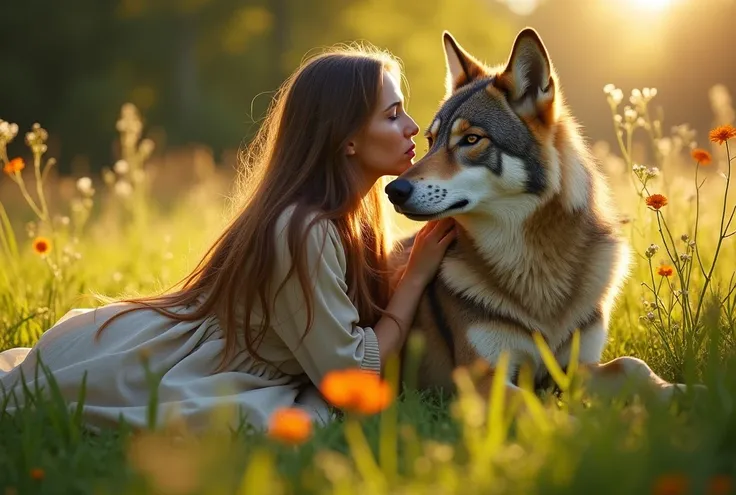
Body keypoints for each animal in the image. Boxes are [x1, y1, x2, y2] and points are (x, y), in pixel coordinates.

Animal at [386, 27, 696, 404]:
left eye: (471, 139)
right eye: (431, 141)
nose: (394, 190)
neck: (537, 270)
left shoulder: (573, 369)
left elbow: (633, 364)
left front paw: (687, 392)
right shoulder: (482, 381)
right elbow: (535, 407)